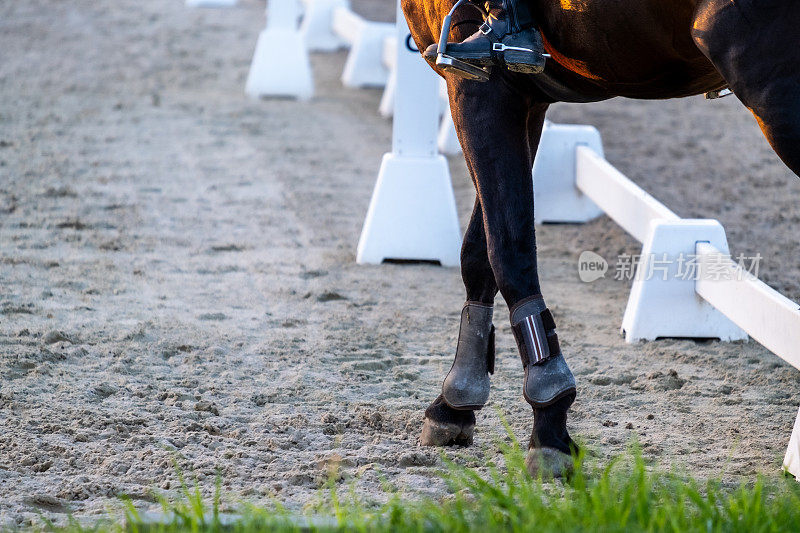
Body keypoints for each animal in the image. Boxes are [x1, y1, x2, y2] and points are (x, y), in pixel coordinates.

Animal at [404, 0, 800, 476]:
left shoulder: (478, 86)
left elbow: (508, 251)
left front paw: (549, 420)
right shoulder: (525, 98)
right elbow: (479, 254)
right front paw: (455, 403)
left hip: (773, 87)